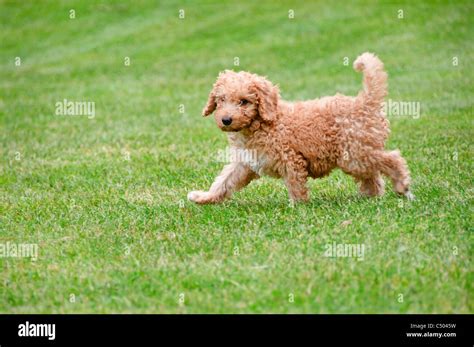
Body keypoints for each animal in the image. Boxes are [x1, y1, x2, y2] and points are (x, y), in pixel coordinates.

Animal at [187, 53, 412, 205]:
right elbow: (224, 181)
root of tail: (364, 102)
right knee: (373, 175)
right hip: (356, 156)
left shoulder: (291, 159)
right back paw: (371, 196)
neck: (262, 125)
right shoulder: (245, 163)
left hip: (355, 154)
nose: (226, 120)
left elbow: (296, 186)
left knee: (392, 158)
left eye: (244, 102)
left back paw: (402, 184)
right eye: (221, 100)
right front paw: (204, 197)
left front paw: (297, 207)